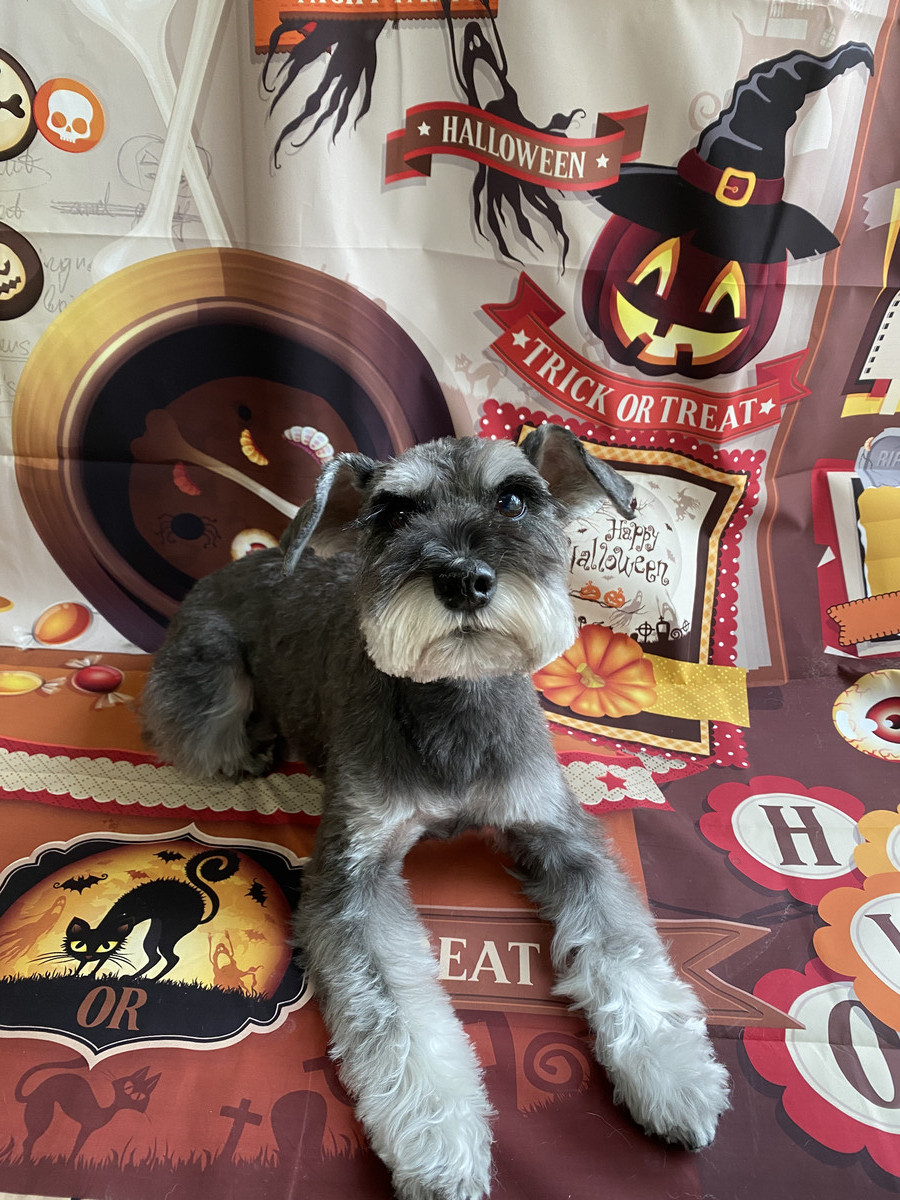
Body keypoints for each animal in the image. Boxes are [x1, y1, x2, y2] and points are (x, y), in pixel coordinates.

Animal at [15, 1056, 160, 1161]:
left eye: (138, 1097)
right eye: (128, 1087)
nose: (128, 1095)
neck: (107, 1110)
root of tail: (32, 1093)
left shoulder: (87, 1129)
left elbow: (78, 1147)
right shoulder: (86, 1128)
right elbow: (77, 1147)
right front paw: (69, 1163)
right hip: (43, 1114)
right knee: (28, 1141)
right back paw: (27, 1163)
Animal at [60, 848, 240, 981]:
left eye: (105, 945)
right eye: (80, 945)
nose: (90, 954)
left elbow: (103, 958)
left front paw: (89, 975)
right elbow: (89, 962)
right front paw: (76, 974)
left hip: (171, 931)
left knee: (172, 958)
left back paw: (152, 980)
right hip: (156, 930)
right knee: (155, 956)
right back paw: (135, 977)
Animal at [142, 425, 730, 1200]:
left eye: (515, 499)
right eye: (393, 513)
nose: (464, 580)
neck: (455, 695)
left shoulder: (560, 833)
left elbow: (623, 950)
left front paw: (672, 1072)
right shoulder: (352, 877)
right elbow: (397, 1017)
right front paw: (442, 1145)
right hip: (211, 681)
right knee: (204, 727)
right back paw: (248, 748)